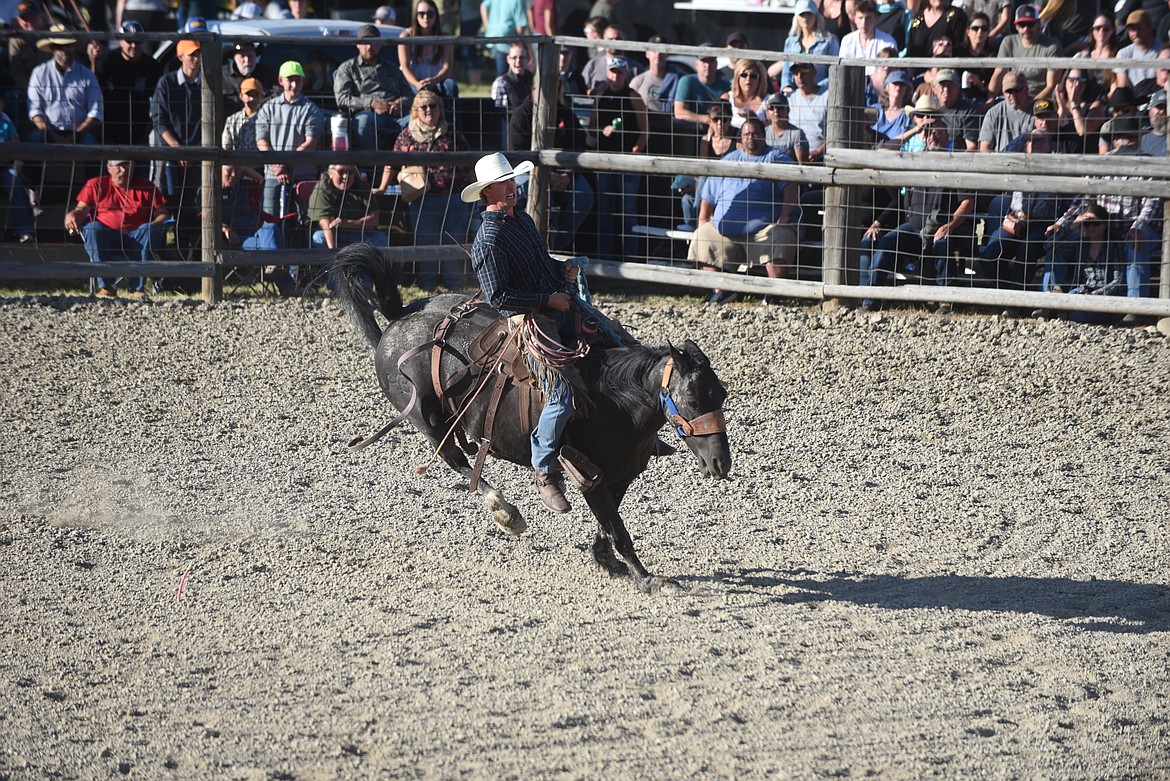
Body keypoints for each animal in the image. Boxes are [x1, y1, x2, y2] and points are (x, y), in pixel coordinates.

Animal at [329, 244, 730, 591]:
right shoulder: (591, 478)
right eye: (692, 398)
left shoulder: (620, 476)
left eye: (722, 394)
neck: (615, 403)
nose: (720, 463)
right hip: (426, 420)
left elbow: (609, 523)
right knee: (456, 460)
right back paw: (507, 512)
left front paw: (605, 560)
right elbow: (617, 529)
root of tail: (399, 318)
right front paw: (647, 579)